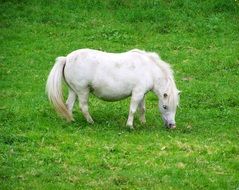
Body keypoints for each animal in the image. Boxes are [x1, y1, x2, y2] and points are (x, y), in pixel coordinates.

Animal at [45, 48, 179, 129]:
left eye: (176, 106)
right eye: (165, 106)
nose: (172, 125)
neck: (149, 69)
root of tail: (66, 58)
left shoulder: (142, 94)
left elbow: (142, 109)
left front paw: (143, 123)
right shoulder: (137, 94)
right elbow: (133, 110)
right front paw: (130, 126)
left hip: (74, 91)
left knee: (68, 105)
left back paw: (70, 120)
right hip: (82, 91)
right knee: (83, 107)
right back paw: (91, 122)